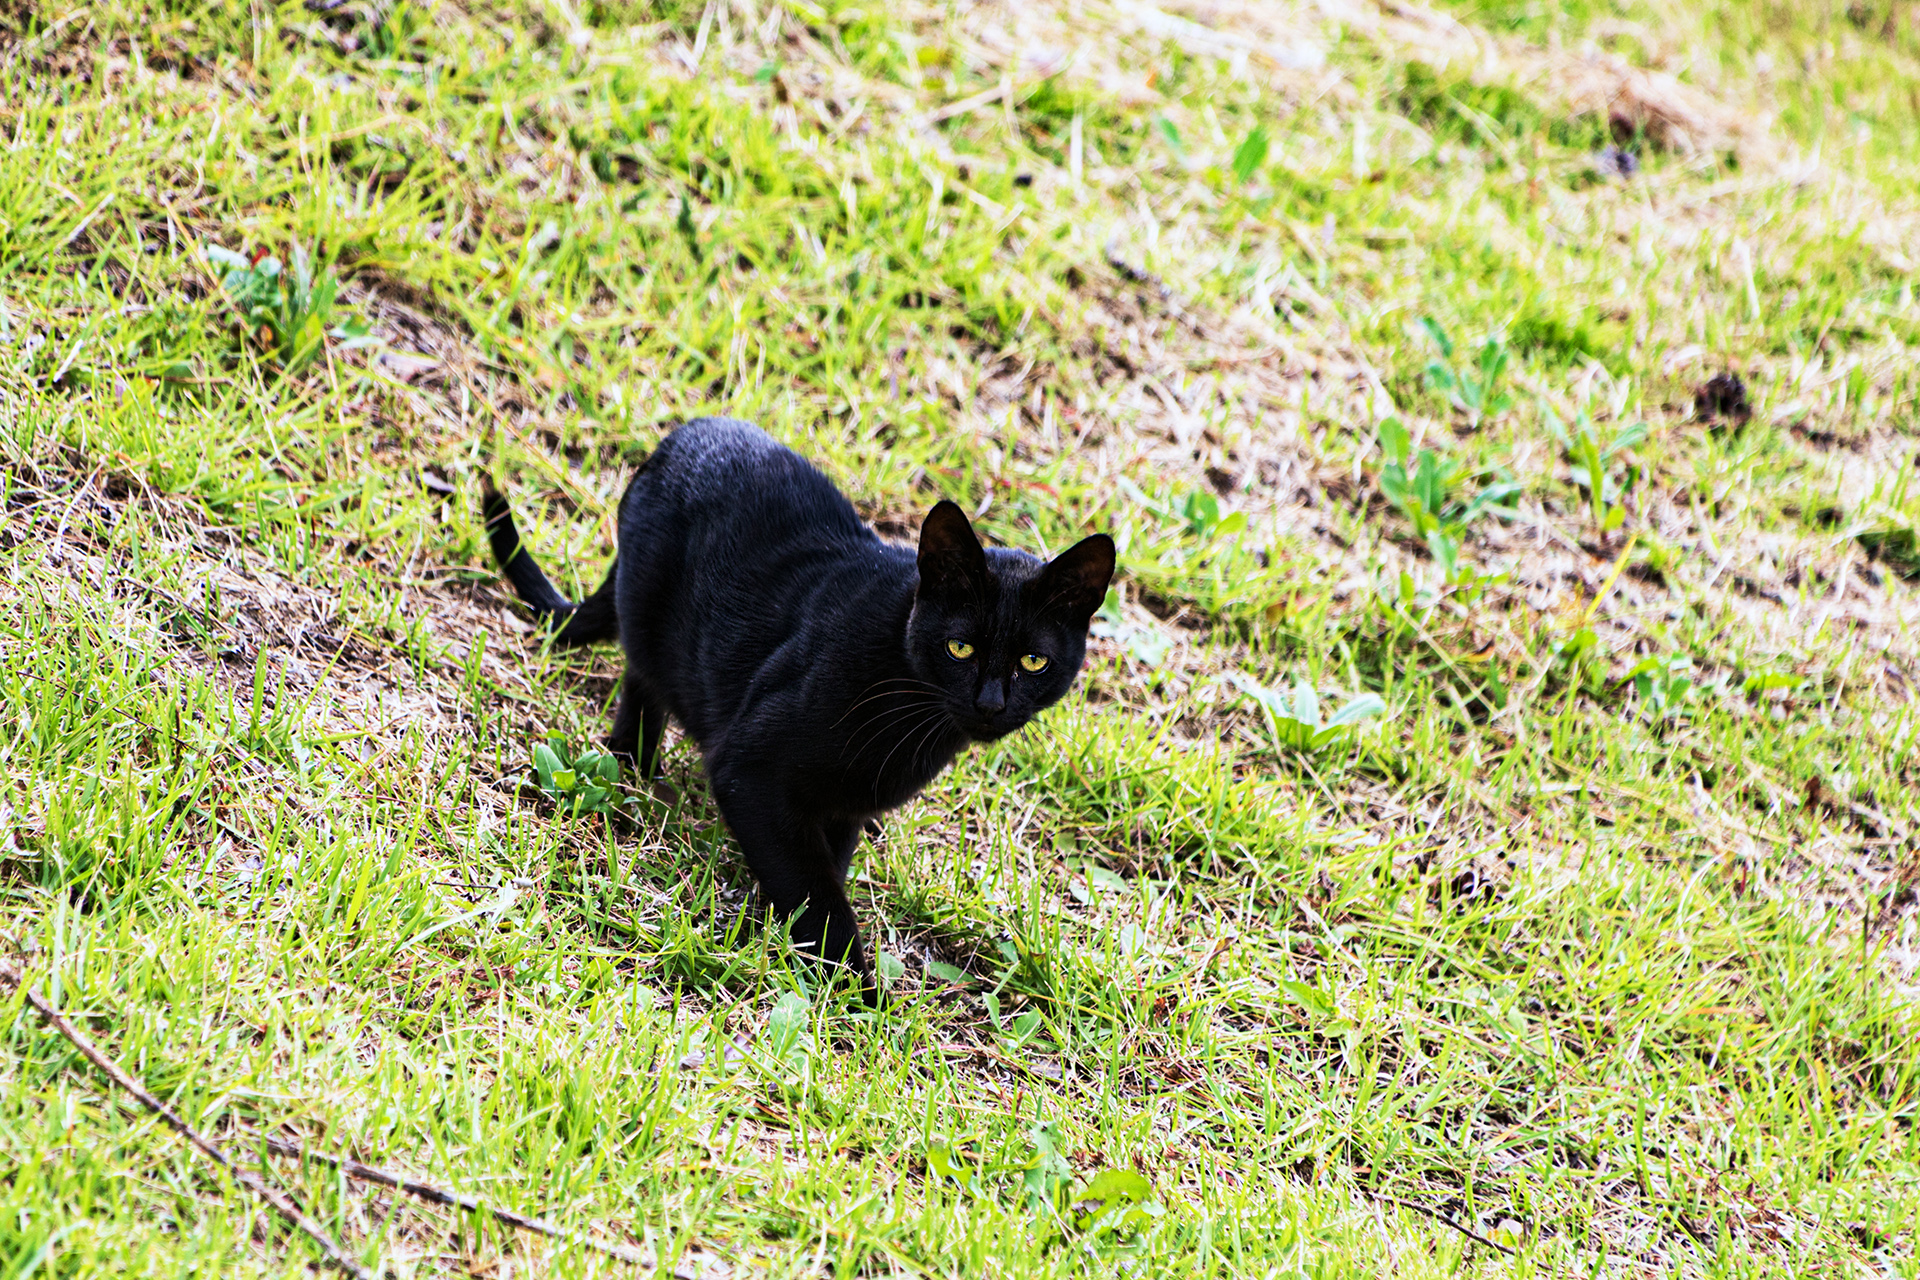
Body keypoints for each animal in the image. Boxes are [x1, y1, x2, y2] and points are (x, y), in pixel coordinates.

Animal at [483, 418, 1115, 998]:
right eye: (960, 647)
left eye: (1033, 661)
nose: (990, 703)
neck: (908, 713)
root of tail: (676, 438)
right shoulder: (750, 771)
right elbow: (816, 893)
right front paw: (856, 996)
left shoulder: (841, 807)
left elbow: (822, 870)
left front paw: (779, 935)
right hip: (652, 626)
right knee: (642, 681)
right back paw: (632, 766)